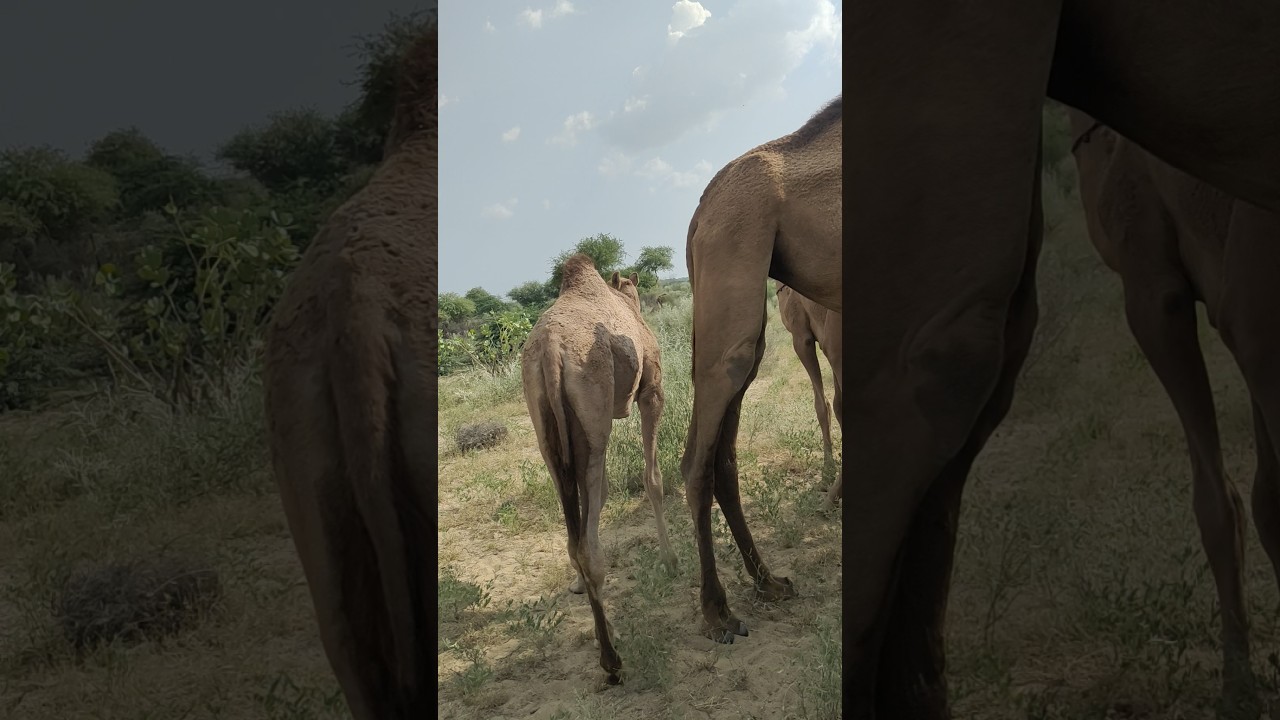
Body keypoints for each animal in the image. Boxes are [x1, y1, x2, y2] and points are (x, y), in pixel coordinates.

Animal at [521, 254, 675, 684]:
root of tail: (550, 353)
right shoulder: (652, 391)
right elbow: (652, 479)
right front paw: (670, 559)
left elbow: (600, 498)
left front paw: (575, 587)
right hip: (594, 421)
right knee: (588, 547)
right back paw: (611, 658)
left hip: (549, 433)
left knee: (577, 536)